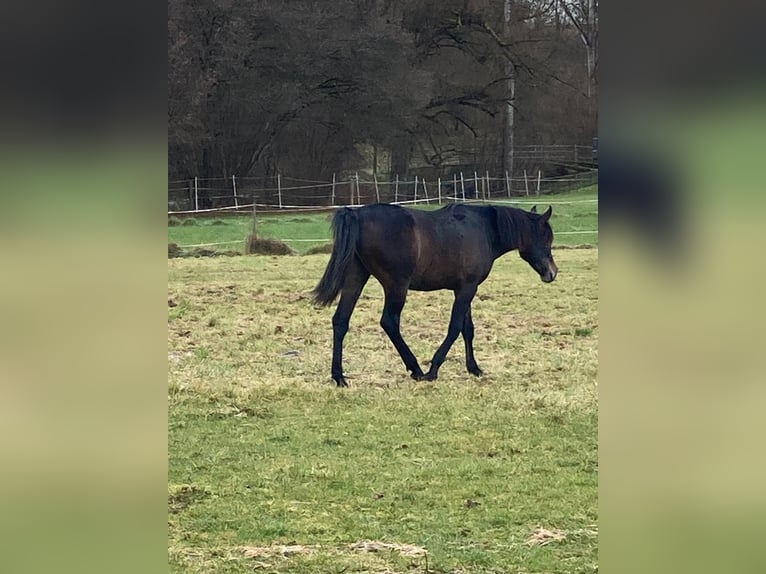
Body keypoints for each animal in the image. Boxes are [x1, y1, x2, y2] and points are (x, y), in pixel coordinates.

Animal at [312, 202, 560, 388]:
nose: (552, 272)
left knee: (340, 321)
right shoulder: (467, 289)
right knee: (389, 322)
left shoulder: (464, 289)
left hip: (356, 277)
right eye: (546, 239)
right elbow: (455, 328)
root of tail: (357, 214)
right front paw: (434, 368)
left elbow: (467, 329)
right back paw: (416, 369)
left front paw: (474, 368)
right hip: (397, 286)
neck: (484, 229)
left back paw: (339, 377)